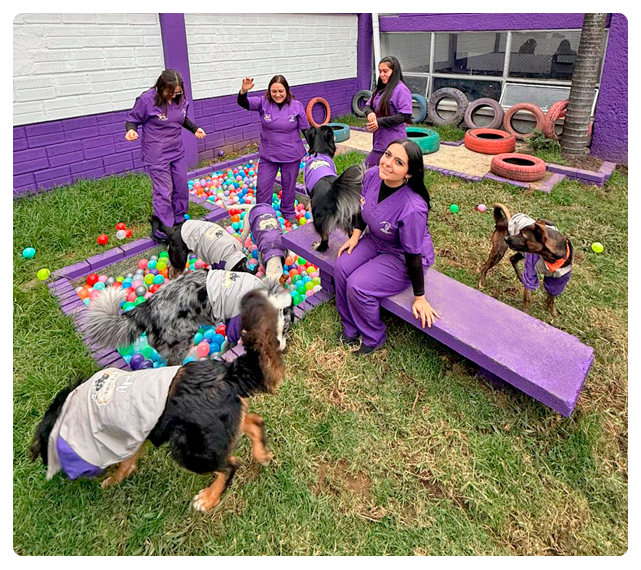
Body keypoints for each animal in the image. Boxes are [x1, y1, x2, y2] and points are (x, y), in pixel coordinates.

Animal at [30, 288, 286, 512]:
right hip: (216, 427)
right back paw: (262, 454)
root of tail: (228, 373)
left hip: (189, 448)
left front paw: (112, 479)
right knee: (254, 422)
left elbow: (123, 462)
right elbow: (127, 462)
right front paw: (116, 480)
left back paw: (209, 498)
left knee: (230, 465)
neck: (69, 411)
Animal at [86, 269, 293, 365]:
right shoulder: (233, 323)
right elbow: (229, 341)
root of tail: (148, 307)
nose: (281, 348)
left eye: (285, 331)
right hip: (183, 339)